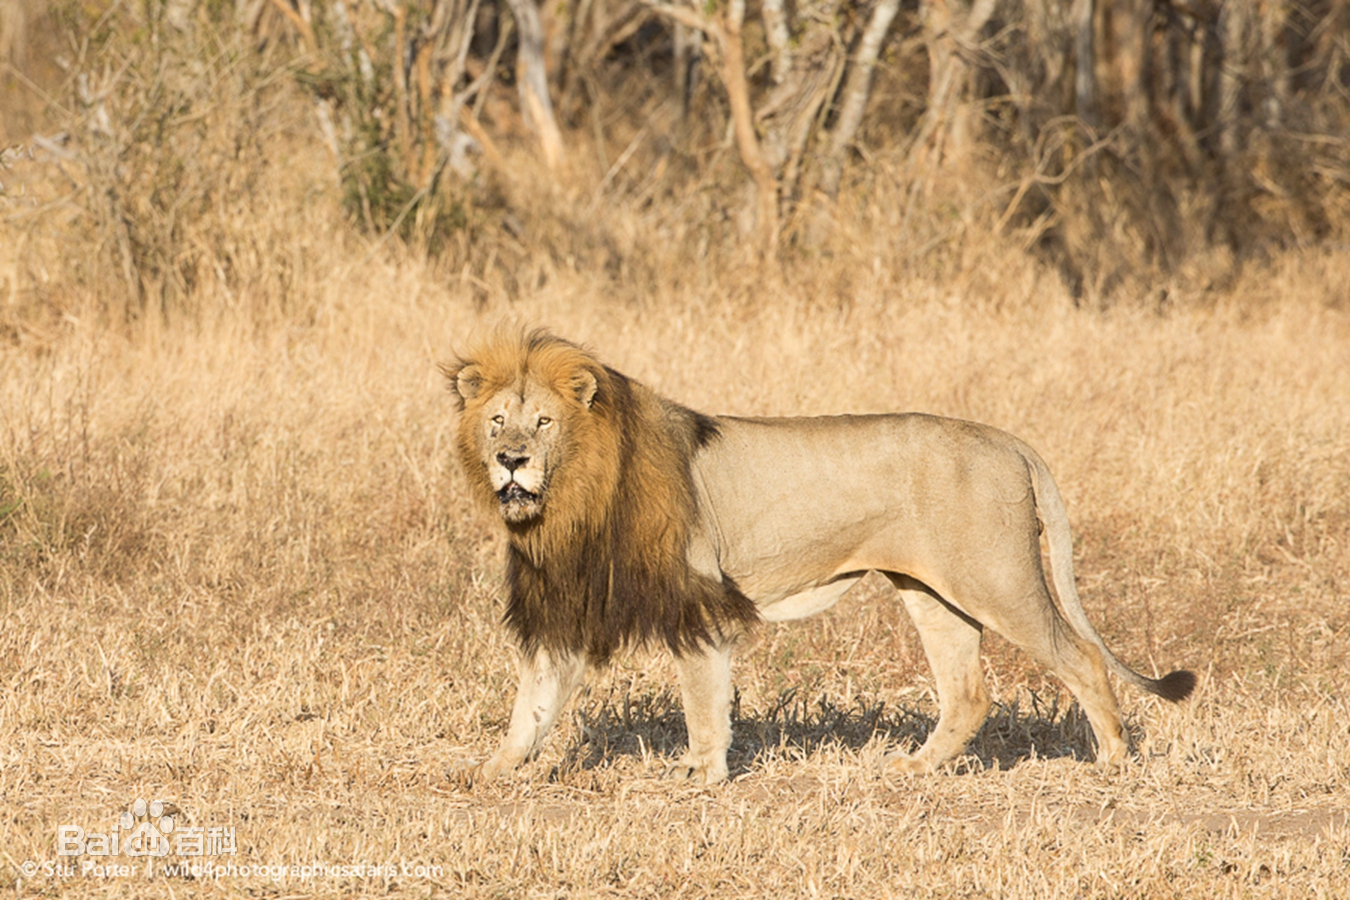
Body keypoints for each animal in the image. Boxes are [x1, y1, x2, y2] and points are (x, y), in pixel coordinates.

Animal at [448, 329, 1198, 782]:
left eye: (543, 422)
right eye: (497, 421)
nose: (510, 459)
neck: (569, 502)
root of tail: (1008, 439)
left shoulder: (696, 596)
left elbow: (701, 698)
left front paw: (700, 774)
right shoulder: (565, 608)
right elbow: (533, 703)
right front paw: (491, 769)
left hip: (996, 579)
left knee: (1083, 657)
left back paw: (1113, 762)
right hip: (934, 593)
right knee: (968, 692)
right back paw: (913, 769)